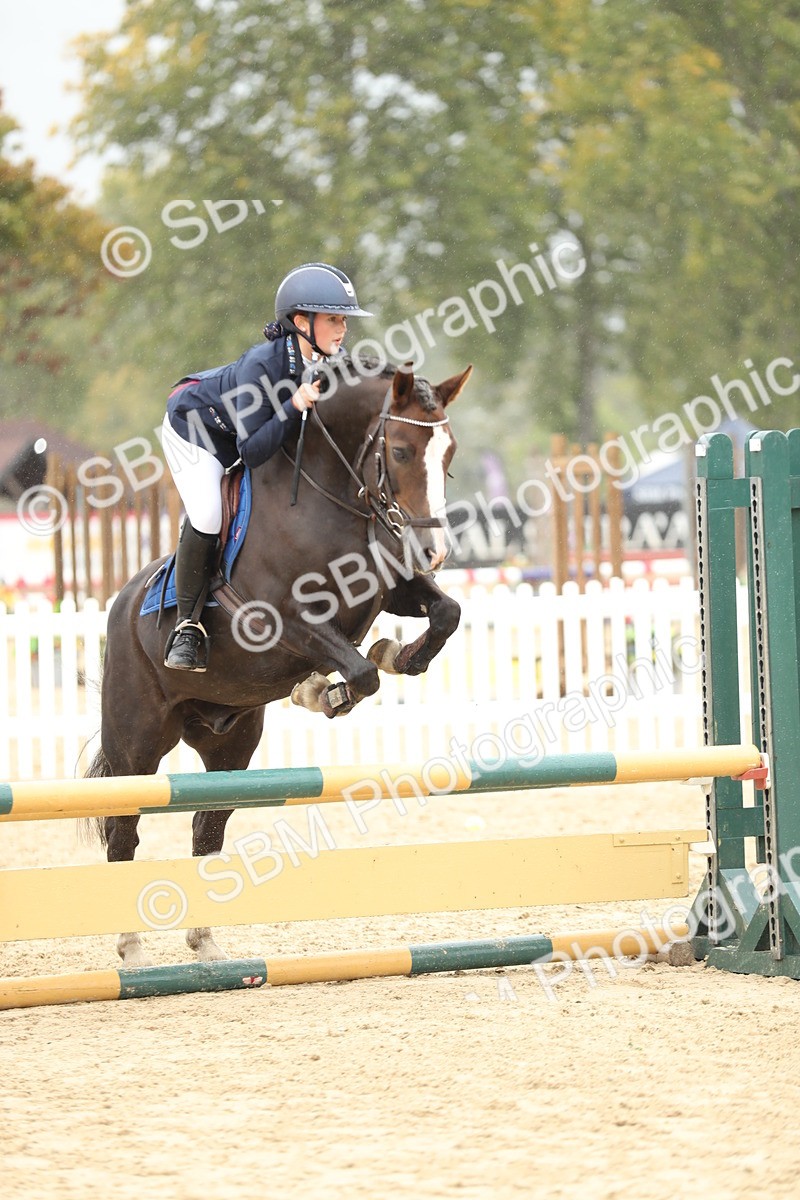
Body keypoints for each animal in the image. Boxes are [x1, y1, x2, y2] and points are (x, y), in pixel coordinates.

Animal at [85, 355, 472, 966]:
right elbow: (359, 671)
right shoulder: (282, 621)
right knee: (123, 830)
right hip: (136, 744)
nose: (434, 552)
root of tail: (121, 603)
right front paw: (324, 692)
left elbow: (445, 614)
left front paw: (399, 655)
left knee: (206, 827)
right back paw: (131, 950)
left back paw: (206, 945)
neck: (333, 496)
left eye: (449, 452)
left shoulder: (386, 590)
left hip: (230, 744)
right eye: (402, 450)